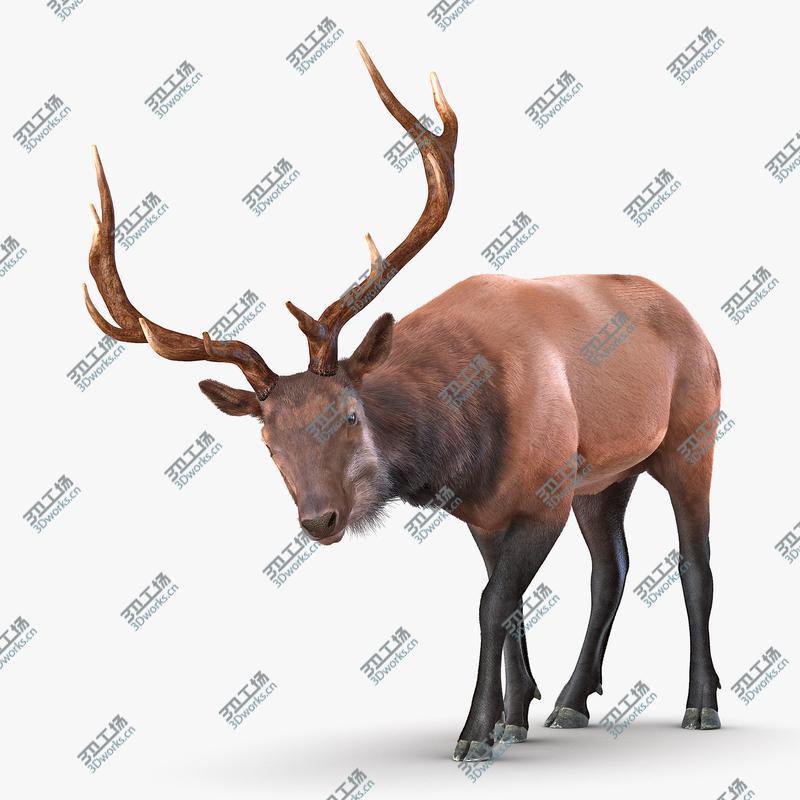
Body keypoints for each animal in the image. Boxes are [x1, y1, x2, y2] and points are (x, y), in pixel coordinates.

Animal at [82, 42, 722, 762]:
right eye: (268, 442)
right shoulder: (489, 513)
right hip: (605, 478)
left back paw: (701, 703)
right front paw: (513, 717)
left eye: (350, 414)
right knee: (611, 567)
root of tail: (691, 316)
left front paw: (475, 732)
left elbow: (491, 605)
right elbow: (512, 607)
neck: (460, 451)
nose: (320, 520)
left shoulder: (546, 492)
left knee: (693, 564)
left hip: (692, 436)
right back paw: (571, 700)